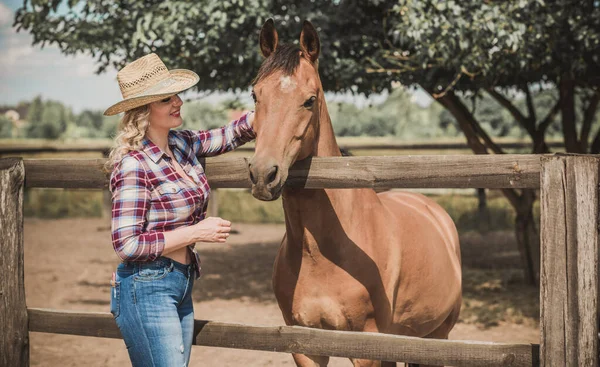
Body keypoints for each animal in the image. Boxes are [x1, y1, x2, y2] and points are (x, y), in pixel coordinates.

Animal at [246, 20, 462, 367]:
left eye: (310, 100)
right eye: (255, 94)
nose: (264, 175)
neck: (322, 253)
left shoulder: (367, 348)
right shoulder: (305, 345)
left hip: (438, 335)